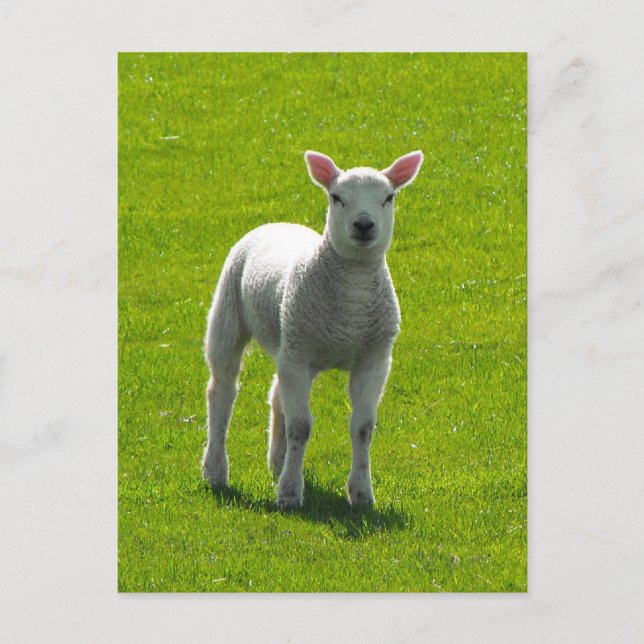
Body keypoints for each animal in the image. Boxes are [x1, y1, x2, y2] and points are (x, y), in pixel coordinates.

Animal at [202, 150, 423, 508]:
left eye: (388, 198)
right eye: (336, 197)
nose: (364, 225)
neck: (352, 301)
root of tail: (279, 223)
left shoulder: (374, 358)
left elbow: (363, 427)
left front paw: (362, 494)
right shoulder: (299, 357)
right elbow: (301, 427)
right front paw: (290, 494)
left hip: (290, 341)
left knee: (276, 392)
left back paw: (277, 462)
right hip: (230, 315)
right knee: (222, 391)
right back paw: (216, 471)